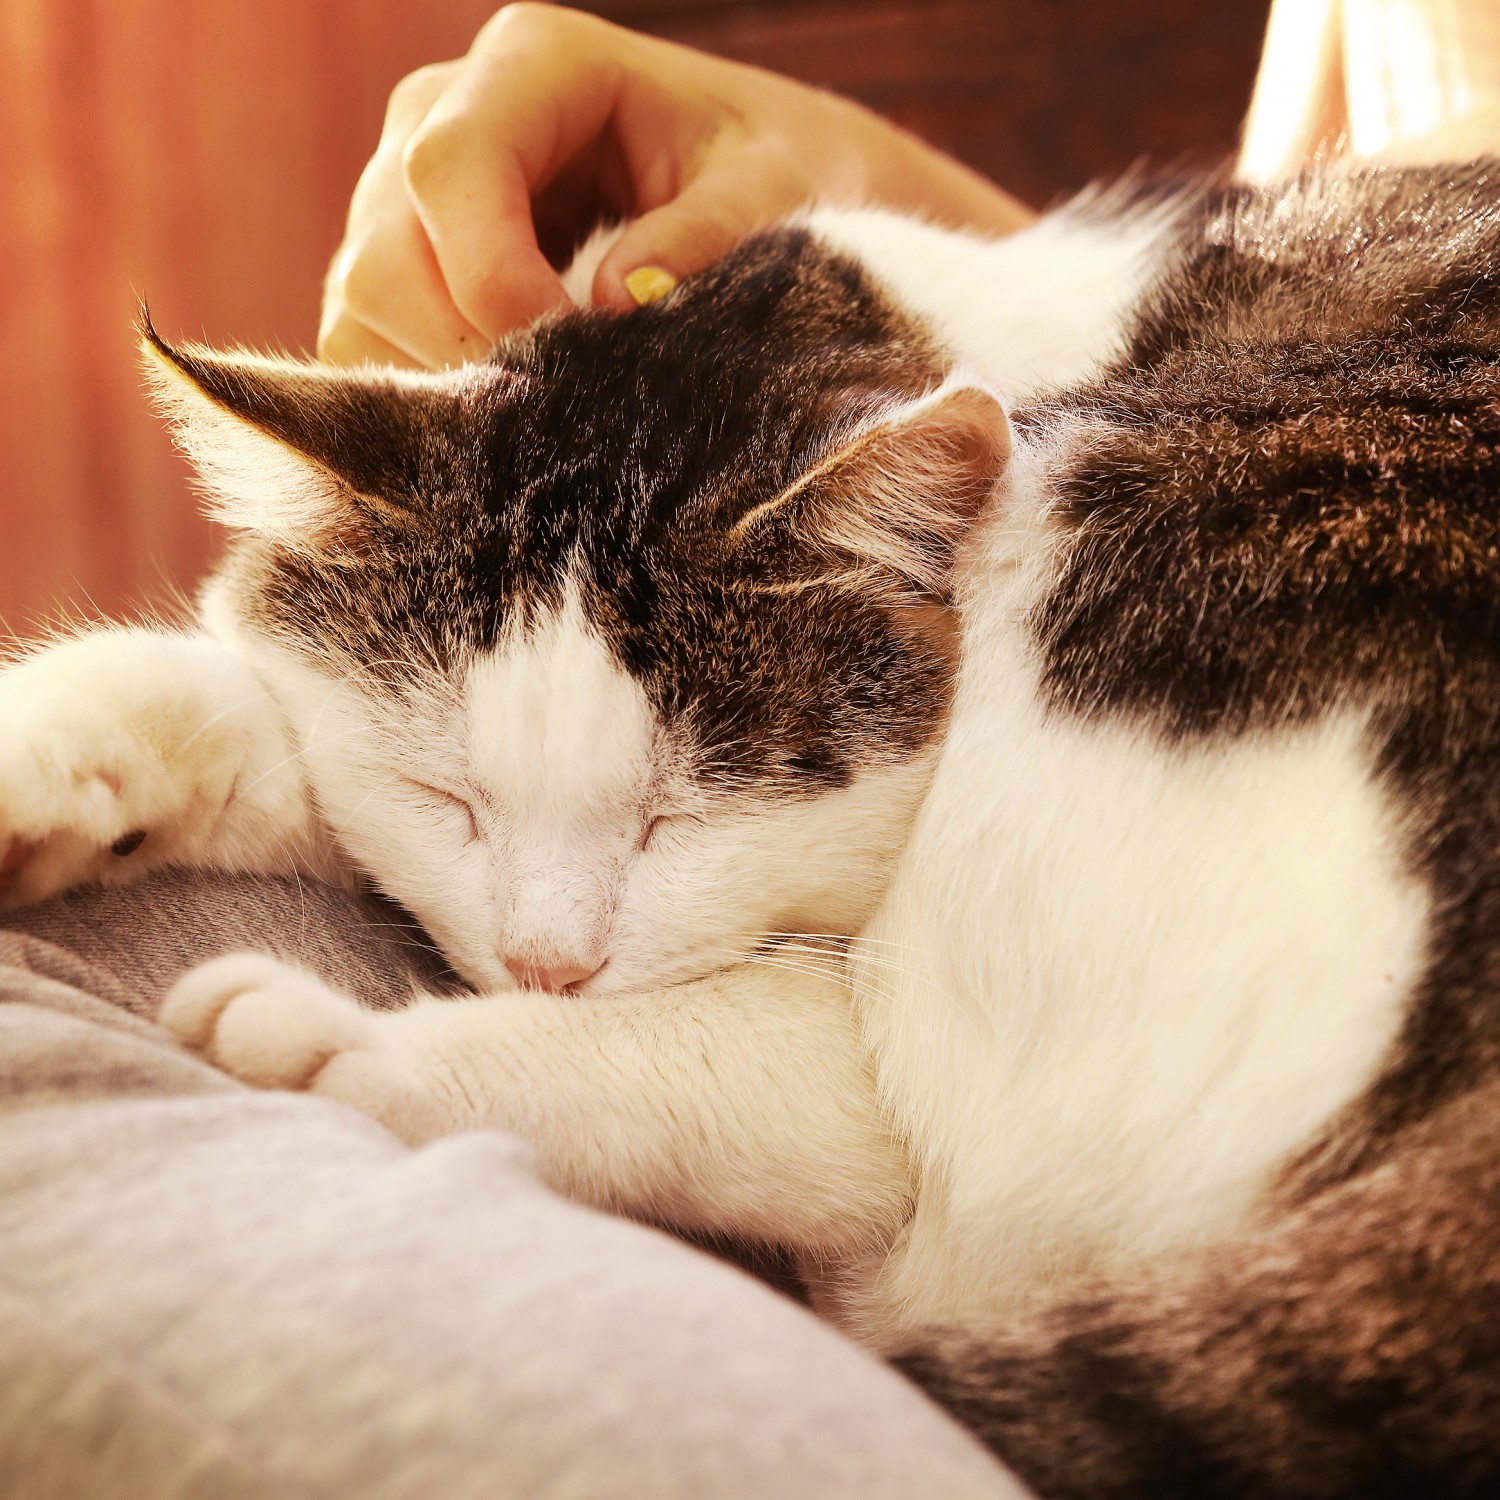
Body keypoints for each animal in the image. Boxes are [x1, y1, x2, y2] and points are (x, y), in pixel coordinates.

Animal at [2, 158, 1500, 1494]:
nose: (546, 967)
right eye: (449, 801)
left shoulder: (878, 1078)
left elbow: (705, 1059)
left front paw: (345, 1045)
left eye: (684, 817)